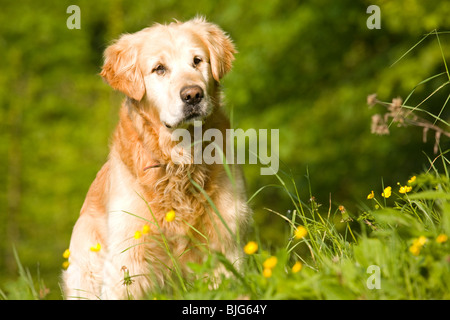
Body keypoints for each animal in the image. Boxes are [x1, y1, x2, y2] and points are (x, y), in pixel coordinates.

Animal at [62, 16, 251, 298]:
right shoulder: (128, 255)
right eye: (159, 69)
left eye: (197, 61)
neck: (180, 158)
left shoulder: (225, 239)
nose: (193, 95)